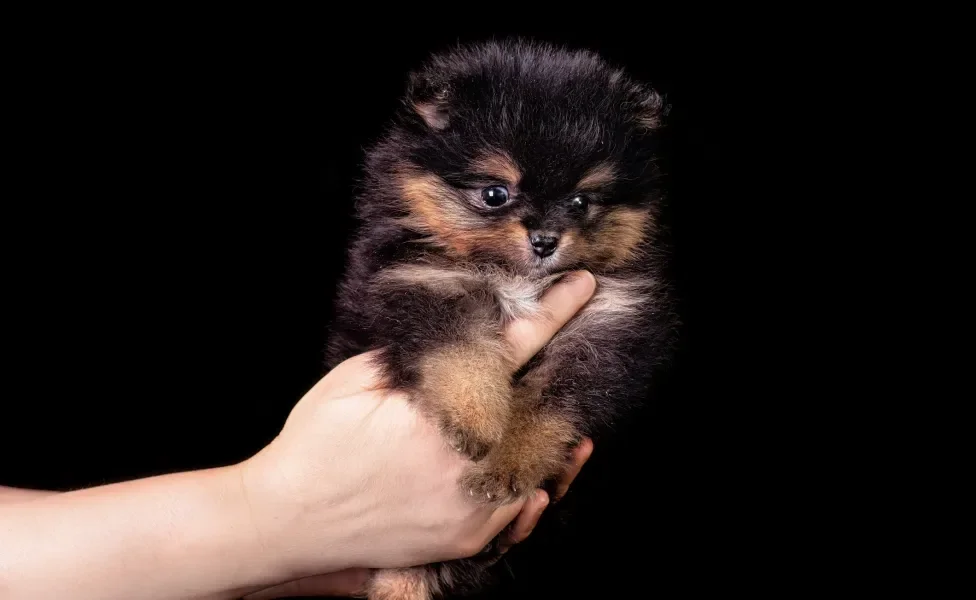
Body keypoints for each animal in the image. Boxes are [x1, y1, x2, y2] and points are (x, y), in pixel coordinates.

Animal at [328, 38, 680, 600]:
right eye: (495, 193)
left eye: (581, 201)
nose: (545, 240)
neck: (515, 277)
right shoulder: (420, 285)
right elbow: (461, 349)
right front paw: (476, 418)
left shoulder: (612, 323)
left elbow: (550, 404)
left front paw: (508, 462)